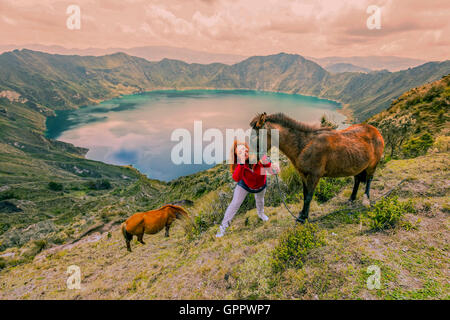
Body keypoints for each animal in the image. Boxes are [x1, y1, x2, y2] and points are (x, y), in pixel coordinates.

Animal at [250, 112, 384, 222]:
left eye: (254, 136)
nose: (250, 161)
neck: (305, 145)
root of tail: (376, 131)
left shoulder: (314, 176)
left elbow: (309, 196)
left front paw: (304, 218)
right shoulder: (303, 175)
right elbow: (305, 195)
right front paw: (302, 214)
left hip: (372, 165)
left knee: (369, 180)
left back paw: (366, 199)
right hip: (358, 166)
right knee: (357, 180)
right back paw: (351, 198)